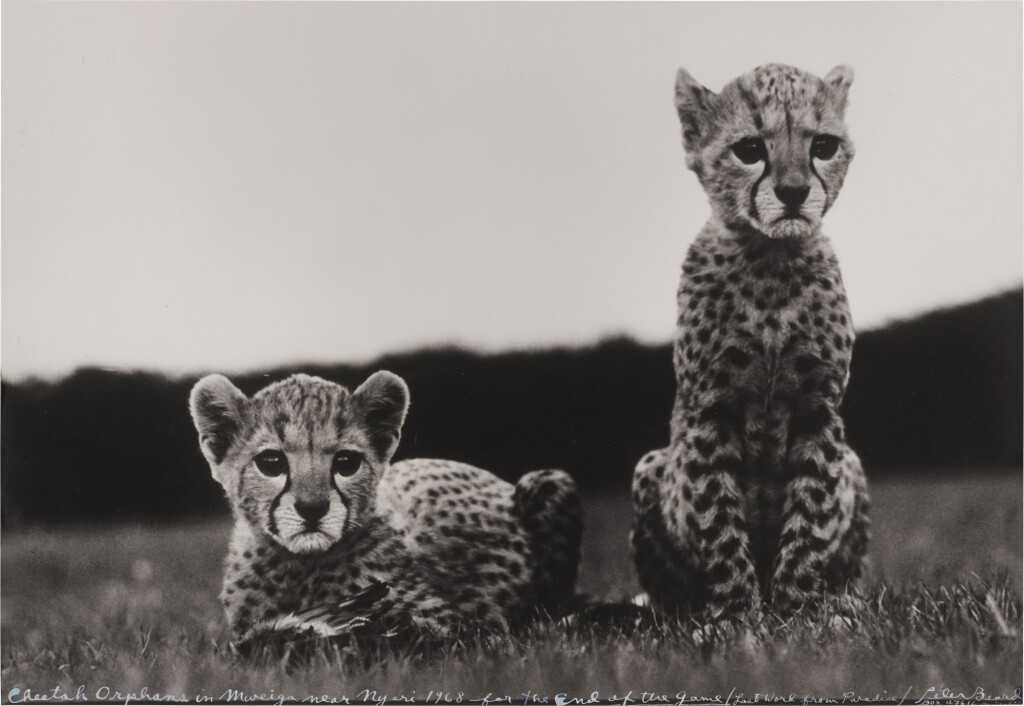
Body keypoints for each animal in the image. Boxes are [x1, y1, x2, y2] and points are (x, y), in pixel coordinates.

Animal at [188, 370, 582, 646]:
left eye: (346, 462)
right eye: (271, 463)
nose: (312, 508)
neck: (300, 565)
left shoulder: (460, 626)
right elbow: (255, 639)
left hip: (550, 480)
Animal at [631, 63, 870, 621]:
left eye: (823, 145)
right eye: (749, 149)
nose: (793, 191)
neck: (771, 260)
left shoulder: (819, 408)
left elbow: (811, 512)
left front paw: (799, 610)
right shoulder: (709, 411)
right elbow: (718, 517)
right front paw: (737, 614)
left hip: (854, 464)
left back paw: (843, 602)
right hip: (650, 466)